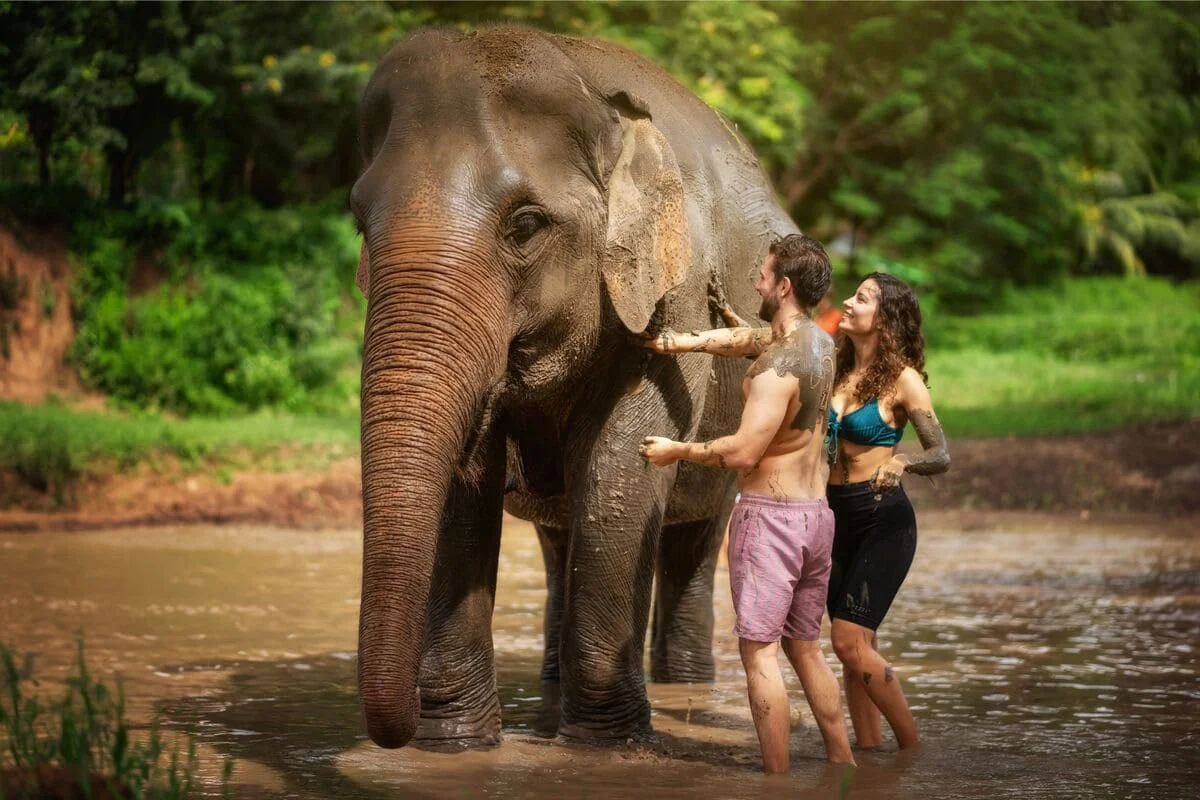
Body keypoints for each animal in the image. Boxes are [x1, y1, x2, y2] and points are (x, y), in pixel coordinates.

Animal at [351, 25, 799, 750]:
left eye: (525, 225)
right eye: (360, 222)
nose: (395, 729)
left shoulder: (674, 289)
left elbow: (621, 467)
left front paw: (606, 747)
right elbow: (461, 485)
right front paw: (452, 746)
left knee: (697, 537)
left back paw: (684, 690)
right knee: (560, 539)